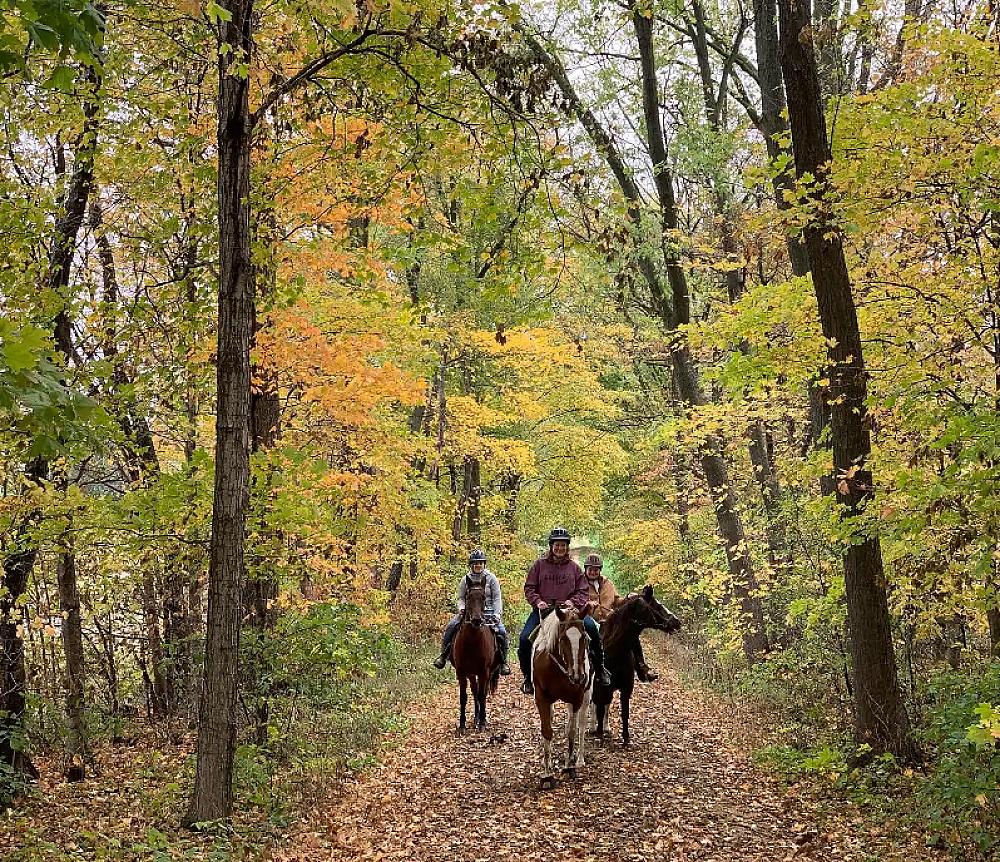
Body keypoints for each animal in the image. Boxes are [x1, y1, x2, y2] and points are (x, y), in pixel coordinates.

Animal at [451, 575, 499, 731]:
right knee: (474, 690)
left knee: (481, 692)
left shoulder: (484, 671)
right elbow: (463, 697)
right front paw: (462, 724)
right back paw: (476, 717)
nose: (477, 620)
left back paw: (481, 719)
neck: (472, 642)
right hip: (471, 673)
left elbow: (482, 695)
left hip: (487, 672)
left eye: (484, 597)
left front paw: (483, 723)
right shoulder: (461, 672)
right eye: (468, 597)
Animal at [531, 605, 593, 788]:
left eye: (584, 638)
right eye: (563, 638)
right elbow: (547, 731)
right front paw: (547, 775)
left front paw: (569, 767)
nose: (578, 676)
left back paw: (578, 760)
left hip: (586, 697)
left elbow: (571, 731)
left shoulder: (577, 698)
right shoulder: (542, 699)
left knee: (580, 725)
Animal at [591, 585, 680, 746]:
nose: (677, 622)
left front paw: (625, 738)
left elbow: (624, 712)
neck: (616, 651)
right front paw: (599, 733)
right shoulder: (601, 687)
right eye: (657, 606)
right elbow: (599, 707)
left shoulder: (626, 689)